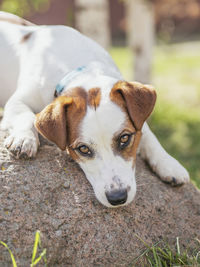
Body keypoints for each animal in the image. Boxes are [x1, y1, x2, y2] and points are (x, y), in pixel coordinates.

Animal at [0, 12, 189, 209]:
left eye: (124, 138)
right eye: (83, 149)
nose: (117, 197)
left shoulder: (136, 119)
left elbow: (148, 134)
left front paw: (168, 163)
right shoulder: (17, 101)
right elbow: (26, 116)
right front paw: (24, 138)